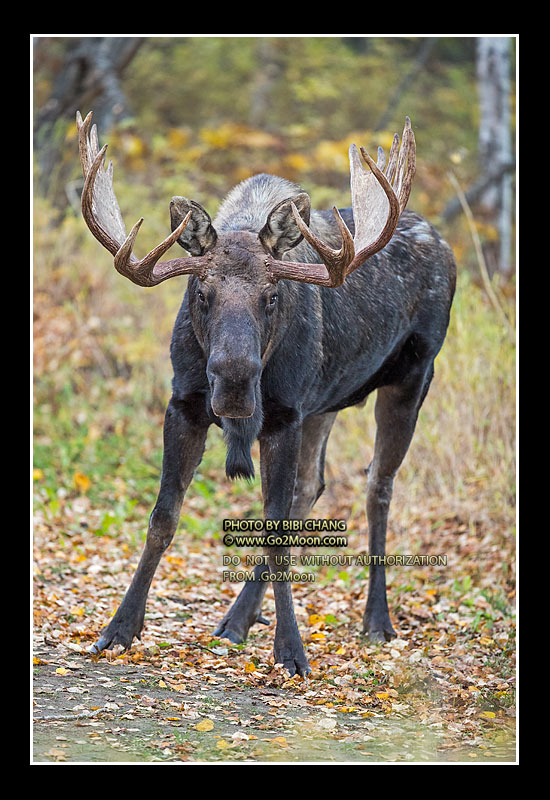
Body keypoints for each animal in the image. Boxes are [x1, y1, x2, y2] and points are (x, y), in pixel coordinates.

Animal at [76, 109, 458, 680]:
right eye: (201, 293)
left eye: (272, 295)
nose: (235, 383)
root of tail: (445, 245)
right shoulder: (185, 404)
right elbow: (163, 518)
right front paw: (119, 629)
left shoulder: (283, 414)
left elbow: (275, 531)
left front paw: (292, 650)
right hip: (324, 404)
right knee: (311, 487)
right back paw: (236, 619)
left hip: (413, 377)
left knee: (378, 485)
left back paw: (376, 619)